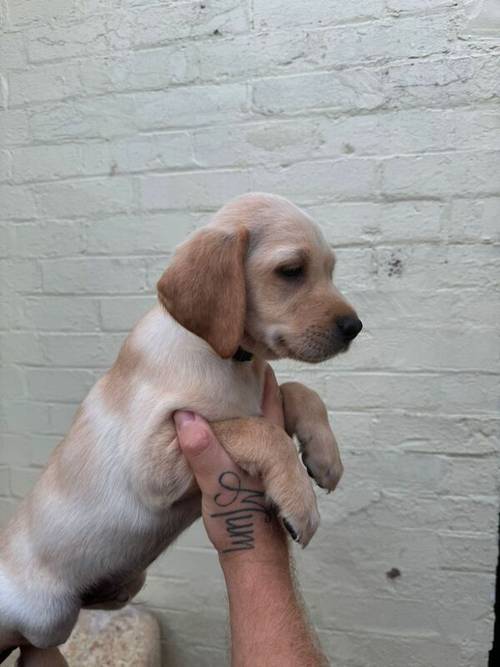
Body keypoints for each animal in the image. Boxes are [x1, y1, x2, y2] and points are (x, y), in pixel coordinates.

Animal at [0, 192, 360, 664]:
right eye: (291, 270)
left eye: (330, 270)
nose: (356, 328)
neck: (226, 356)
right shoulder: (155, 460)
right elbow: (256, 430)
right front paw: (299, 499)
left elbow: (300, 392)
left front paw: (325, 456)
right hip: (48, 616)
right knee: (30, 641)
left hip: (125, 585)